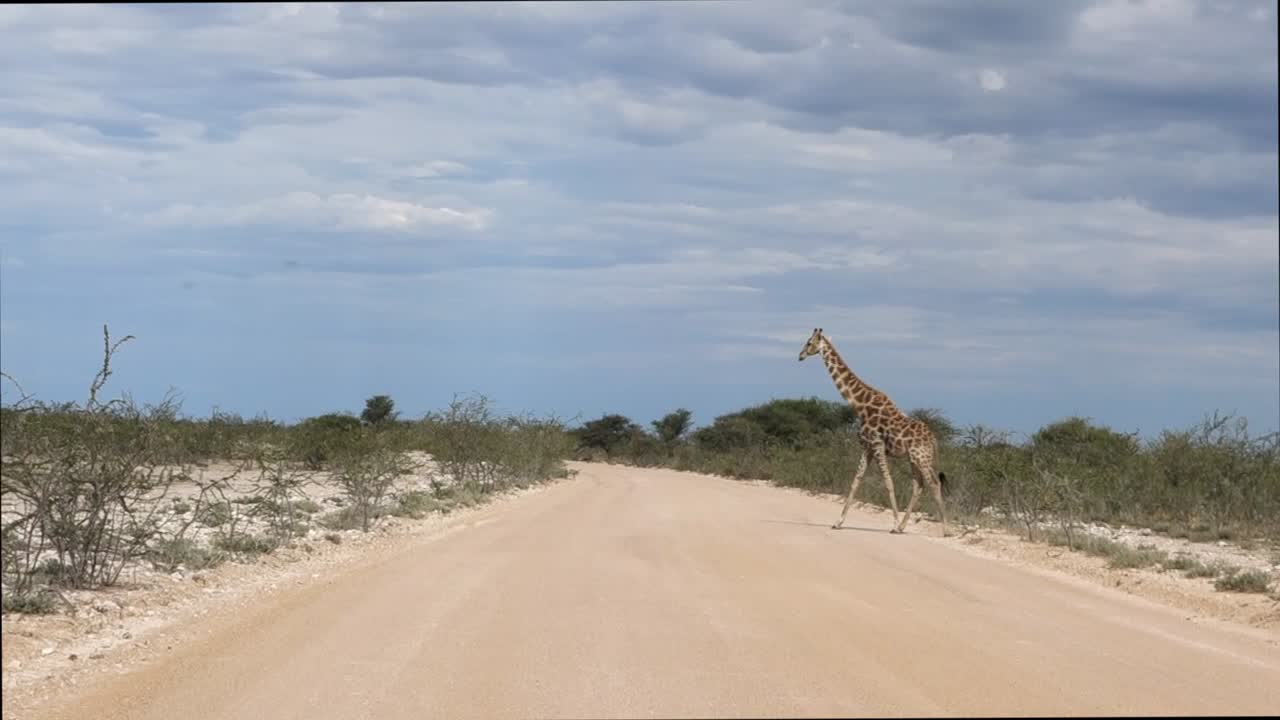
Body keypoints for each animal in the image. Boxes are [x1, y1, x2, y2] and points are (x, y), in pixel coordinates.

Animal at [798, 328, 950, 536]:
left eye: (809, 343)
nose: (800, 356)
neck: (860, 405)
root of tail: (933, 439)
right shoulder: (867, 448)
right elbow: (856, 481)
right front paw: (838, 522)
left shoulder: (877, 446)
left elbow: (888, 482)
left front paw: (893, 523)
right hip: (913, 458)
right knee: (918, 486)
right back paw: (903, 527)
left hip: (921, 457)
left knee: (934, 483)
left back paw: (945, 529)